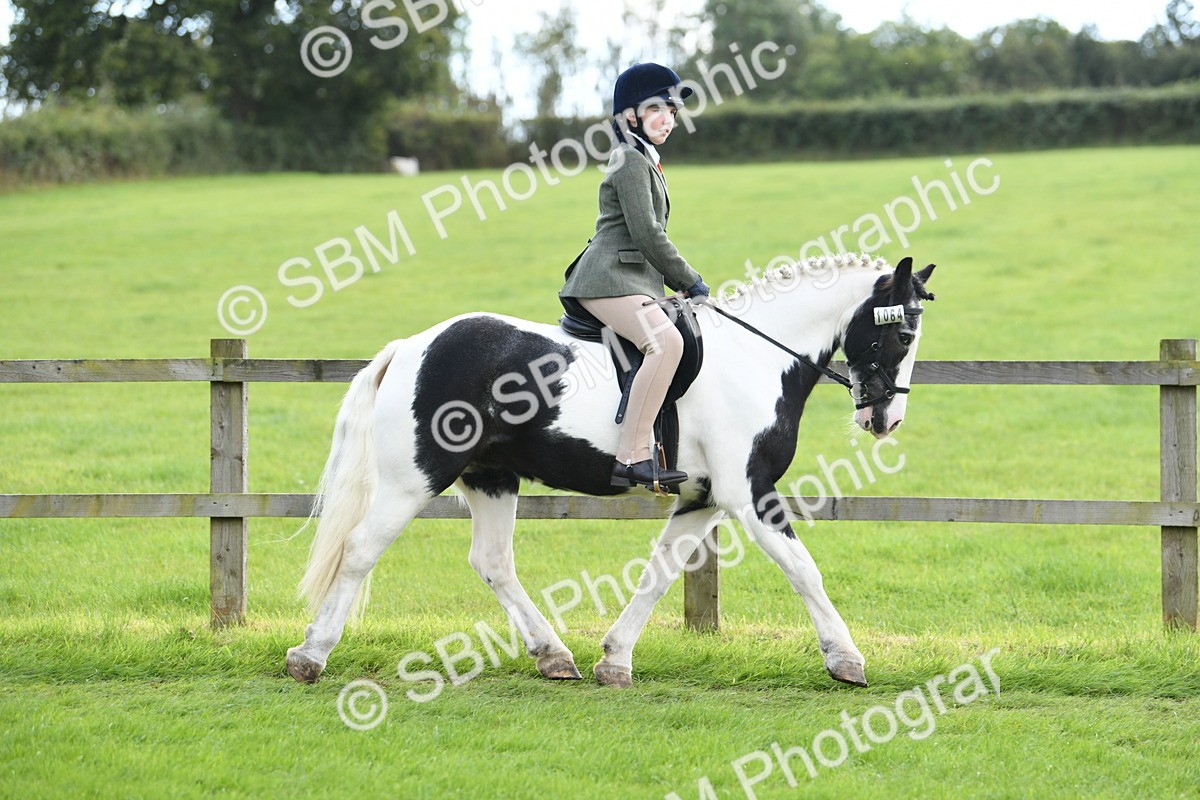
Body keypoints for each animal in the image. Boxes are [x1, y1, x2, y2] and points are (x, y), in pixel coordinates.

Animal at [285, 253, 936, 688]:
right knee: (360, 550)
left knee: (493, 563)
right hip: (413, 479)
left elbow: (659, 574)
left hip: (491, 476)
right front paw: (846, 659)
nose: (886, 419)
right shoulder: (748, 491)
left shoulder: (702, 498)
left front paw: (615, 660)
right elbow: (803, 570)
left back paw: (554, 656)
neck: (757, 357)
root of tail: (412, 347)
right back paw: (310, 655)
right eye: (902, 333)